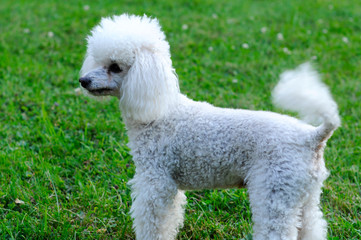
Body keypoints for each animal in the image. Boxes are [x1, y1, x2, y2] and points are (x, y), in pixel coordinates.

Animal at [77, 14, 338, 239]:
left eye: (115, 67)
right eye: (97, 60)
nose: (83, 81)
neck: (158, 113)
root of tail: (312, 137)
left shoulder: (156, 180)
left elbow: (153, 223)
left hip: (274, 193)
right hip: (304, 196)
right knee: (312, 228)